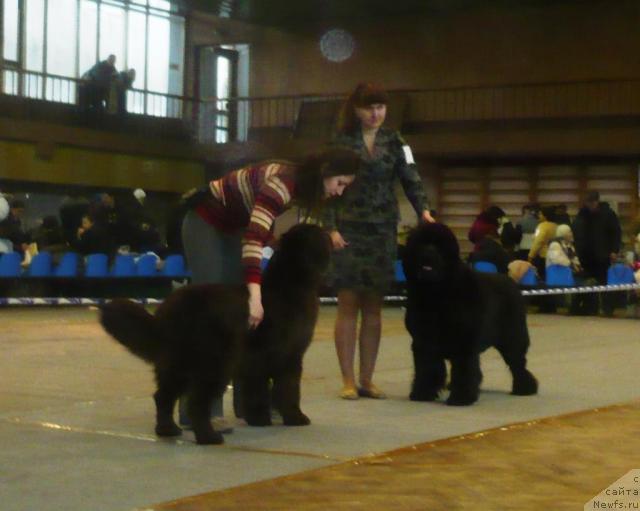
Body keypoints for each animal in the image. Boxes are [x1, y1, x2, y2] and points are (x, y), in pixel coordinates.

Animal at [101, 224, 330, 444]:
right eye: (319, 234)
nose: (331, 236)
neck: (291, 283)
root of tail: (171, 310)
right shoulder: (289, 355)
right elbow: (290, 389)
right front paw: (296, 417)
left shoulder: (256, 360)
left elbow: (257, 391)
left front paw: (259, 419)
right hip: (214, 363)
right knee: (196, 402)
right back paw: (209, 437)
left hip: (177, 363)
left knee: (163, 396)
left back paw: (168, 430)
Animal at [402, 222, 536, 406]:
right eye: (421, 243)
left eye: (439, 246)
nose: (428, 253)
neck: (437, 291)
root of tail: (510, 282)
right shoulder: (423, 341)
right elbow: (426, 367)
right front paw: (422, 393)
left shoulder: (464, 341)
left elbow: (463, 370)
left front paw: (461, 398)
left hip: (512, 337)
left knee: (517, 363)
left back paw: (524, 389)